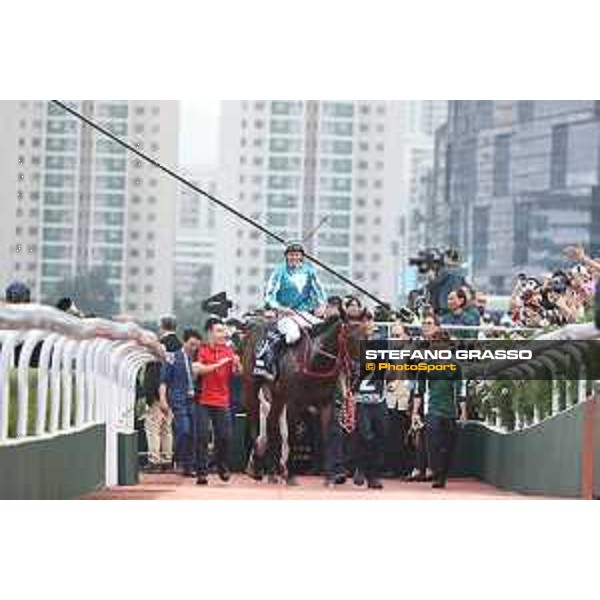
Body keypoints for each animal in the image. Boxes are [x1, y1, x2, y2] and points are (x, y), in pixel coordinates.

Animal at [240, 316, 364, 486]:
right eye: (348, 337)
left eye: (366, 337)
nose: (356, 370)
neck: (313, 361)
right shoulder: (294, 403)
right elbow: (291, 436)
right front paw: (291, 476)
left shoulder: (326, 403)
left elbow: (327, 437)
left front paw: (330, 476)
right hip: (251, 387)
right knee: (254, 424)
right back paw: (257, 467)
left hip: (278, 395)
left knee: (272, 423)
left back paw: (272, 473)